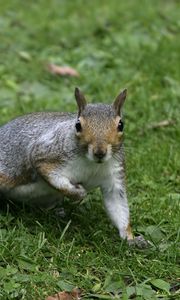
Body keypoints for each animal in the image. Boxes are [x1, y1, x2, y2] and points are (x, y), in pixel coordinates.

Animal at [0, 88, 148, 247]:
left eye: (121, 125)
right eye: (78, 125)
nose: (99, 152)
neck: (92, 164)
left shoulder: (115, 175)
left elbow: (118, 208)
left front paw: (131, 239)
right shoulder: (45, 155)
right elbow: (54, 177)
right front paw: (78, 193)